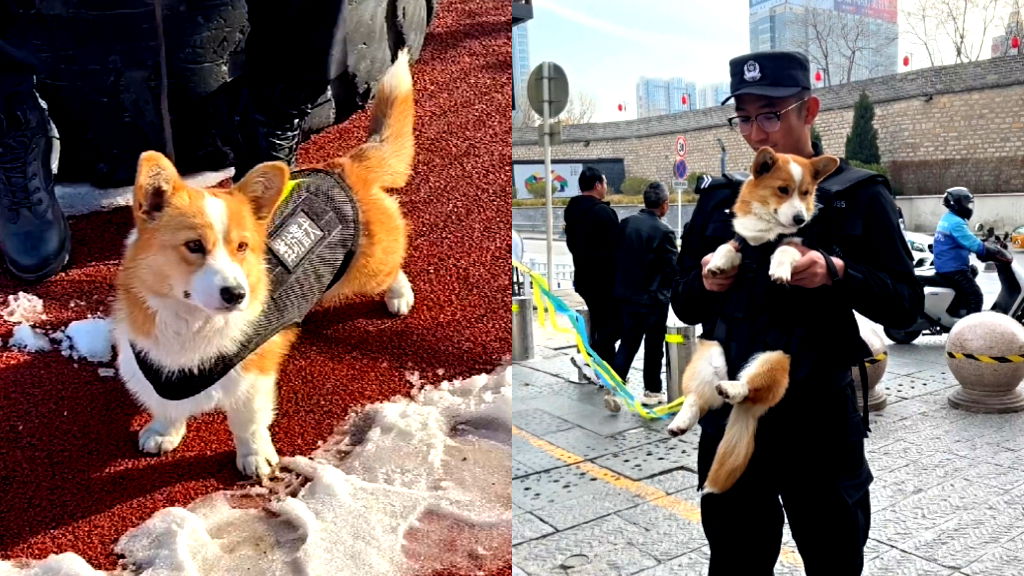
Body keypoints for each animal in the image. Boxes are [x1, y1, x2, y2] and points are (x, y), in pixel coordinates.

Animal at [113, 52, 415, 475]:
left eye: (242, 246)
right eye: (194, 246)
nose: (236, 295)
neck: (191, 323)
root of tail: (344, 166)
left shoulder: (253, 378)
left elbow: (249, 424)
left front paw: (254, 458)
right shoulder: (147, 365)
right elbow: (164, 407)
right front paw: (163, 432)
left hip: (370, 268)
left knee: (394, 263)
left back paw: (399, 295)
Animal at [663, 145, 839, 491]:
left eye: (806, 193)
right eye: (783, 190)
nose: (800, 218)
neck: (765, 234)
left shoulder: (800, 248)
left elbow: (784, 250)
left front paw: (779, 270)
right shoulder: (739, 242)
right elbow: (727, 247)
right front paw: (716, 265)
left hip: (772, 360)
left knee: (747, 389)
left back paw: (733, 389)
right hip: (709, 358)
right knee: (697, 399)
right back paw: (681, 420)